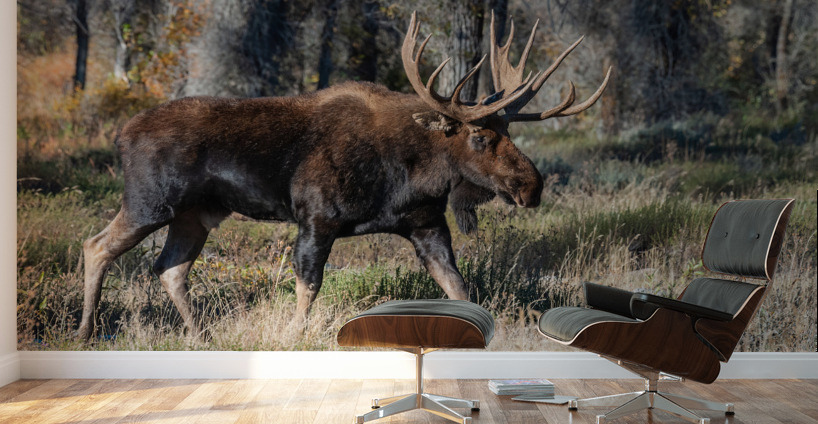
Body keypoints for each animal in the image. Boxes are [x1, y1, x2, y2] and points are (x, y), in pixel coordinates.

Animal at [78, 11, 610, 340]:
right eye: (480, 136)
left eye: (509, 132)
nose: (531, 186)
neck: (409, 175)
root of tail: (122, 134)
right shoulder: (316, 218)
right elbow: (307, 289)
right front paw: (294, 337)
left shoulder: (426, 224)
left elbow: (458, 287)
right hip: (150, 202)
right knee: (96, 245)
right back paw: (86, 331)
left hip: (196, 214)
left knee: (170, 268)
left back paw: (200, 333)